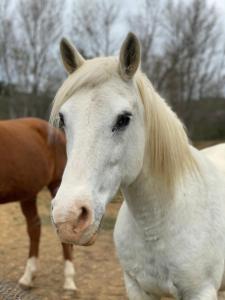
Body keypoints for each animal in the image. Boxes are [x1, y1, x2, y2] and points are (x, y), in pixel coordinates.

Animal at [50, 33, 225, 300]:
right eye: (63, 120)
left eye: (123, 119)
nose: (68, 219)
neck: (155, 224)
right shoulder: (136, 287)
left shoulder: (201, 291)